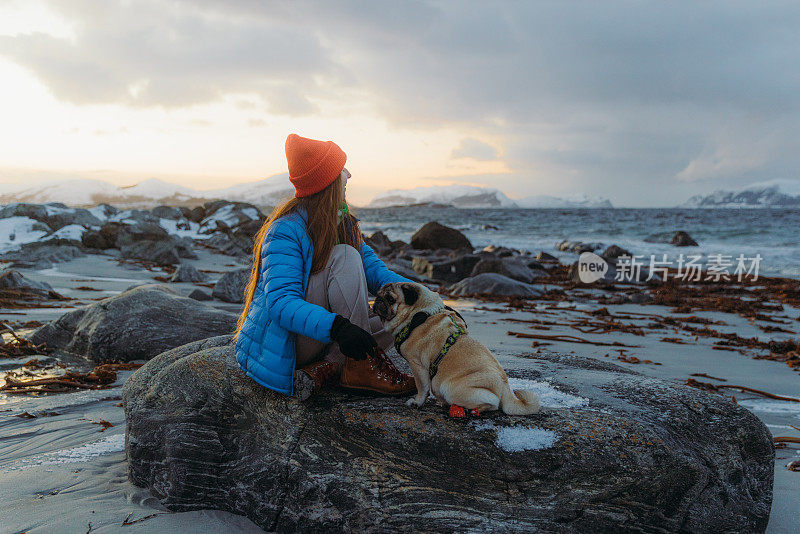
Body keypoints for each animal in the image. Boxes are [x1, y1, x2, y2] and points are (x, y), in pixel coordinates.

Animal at [372, 282, 540, 416]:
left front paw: (417, 402)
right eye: (378, 294)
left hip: (449, 387)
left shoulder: (417, 366)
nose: (377, 300)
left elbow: (422, 388)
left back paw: (469, 409)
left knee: (493, 404)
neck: (419, 314)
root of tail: (506, 388)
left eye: (390, 299)